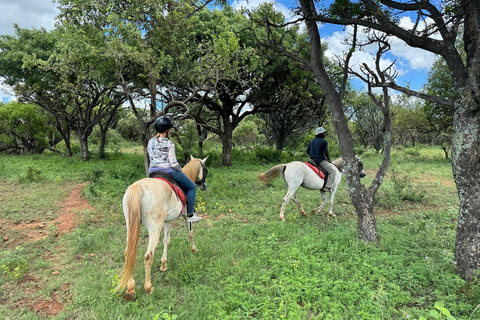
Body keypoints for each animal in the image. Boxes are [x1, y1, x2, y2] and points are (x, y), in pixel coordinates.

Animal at [116, 156, 208, 302]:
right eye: (205, 169)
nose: (204, 186)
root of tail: (138, 188)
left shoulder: (167, 221)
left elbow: (166, 240)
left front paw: (164, 265)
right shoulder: (185, 217)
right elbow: (190, 233)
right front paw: (194, 251)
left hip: (130, 225)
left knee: (128, 253)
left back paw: (130, 289)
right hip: (154, 228)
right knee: (148, 256)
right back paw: (148, 287)